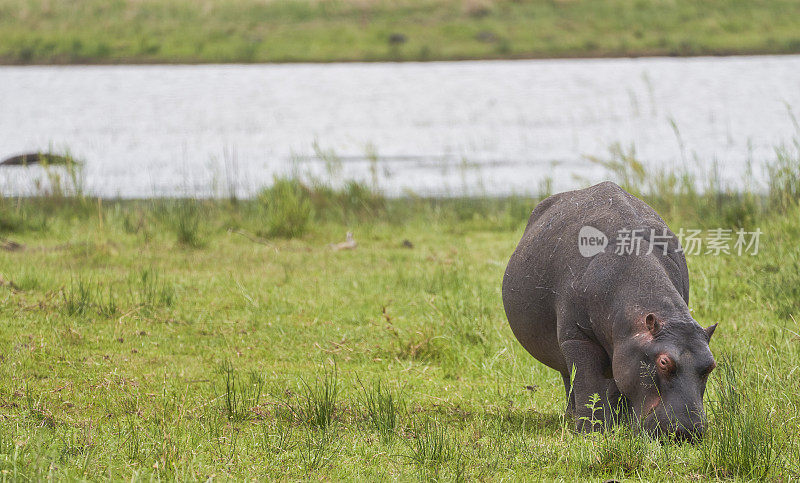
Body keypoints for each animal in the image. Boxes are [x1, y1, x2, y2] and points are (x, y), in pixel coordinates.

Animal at [504, 182, 716, 442]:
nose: (687, 431)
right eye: (664, 362)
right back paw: (572, 417)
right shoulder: (577, 337)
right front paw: (592, 432)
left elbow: (618, 385)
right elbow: (587, 382)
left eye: (711, 365)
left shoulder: (624, 348)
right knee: (570, 378)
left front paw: (619, 425)